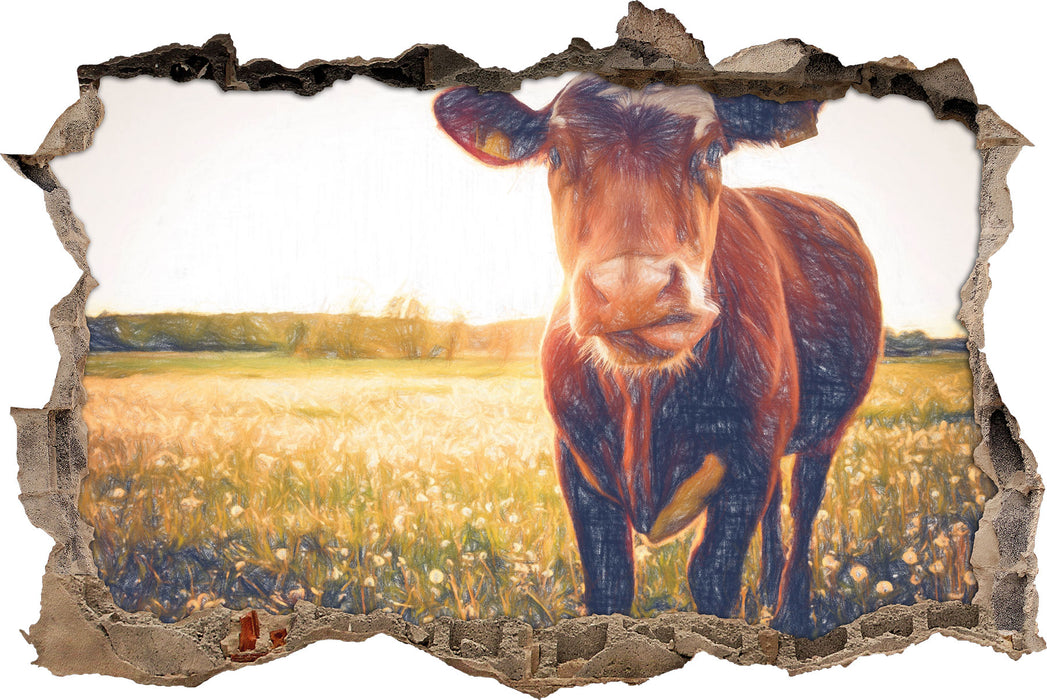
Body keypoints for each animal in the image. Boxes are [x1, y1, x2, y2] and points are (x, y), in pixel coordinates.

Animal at [434, 74, 882, 637]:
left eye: (712, 150)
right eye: (556, 154)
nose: (633, 290)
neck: (644, 403)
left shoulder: (750, 459)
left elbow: (710, 574)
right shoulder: (575, 462)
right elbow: (610, 581)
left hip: (827, 427)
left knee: (804, 504)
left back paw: (790, 615)